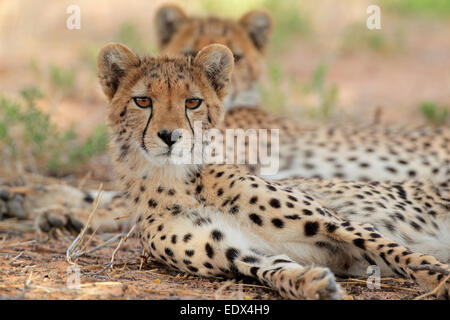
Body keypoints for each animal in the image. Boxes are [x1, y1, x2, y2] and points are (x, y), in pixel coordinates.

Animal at [96, 43, 448, 300]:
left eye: (192, 102)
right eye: (143, 101)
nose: (170, 136)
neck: (174, 180)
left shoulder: (336, 223)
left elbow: (397, 252)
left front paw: (438, 276)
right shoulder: (237, 253)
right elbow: (275, 270)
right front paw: (311, 284)